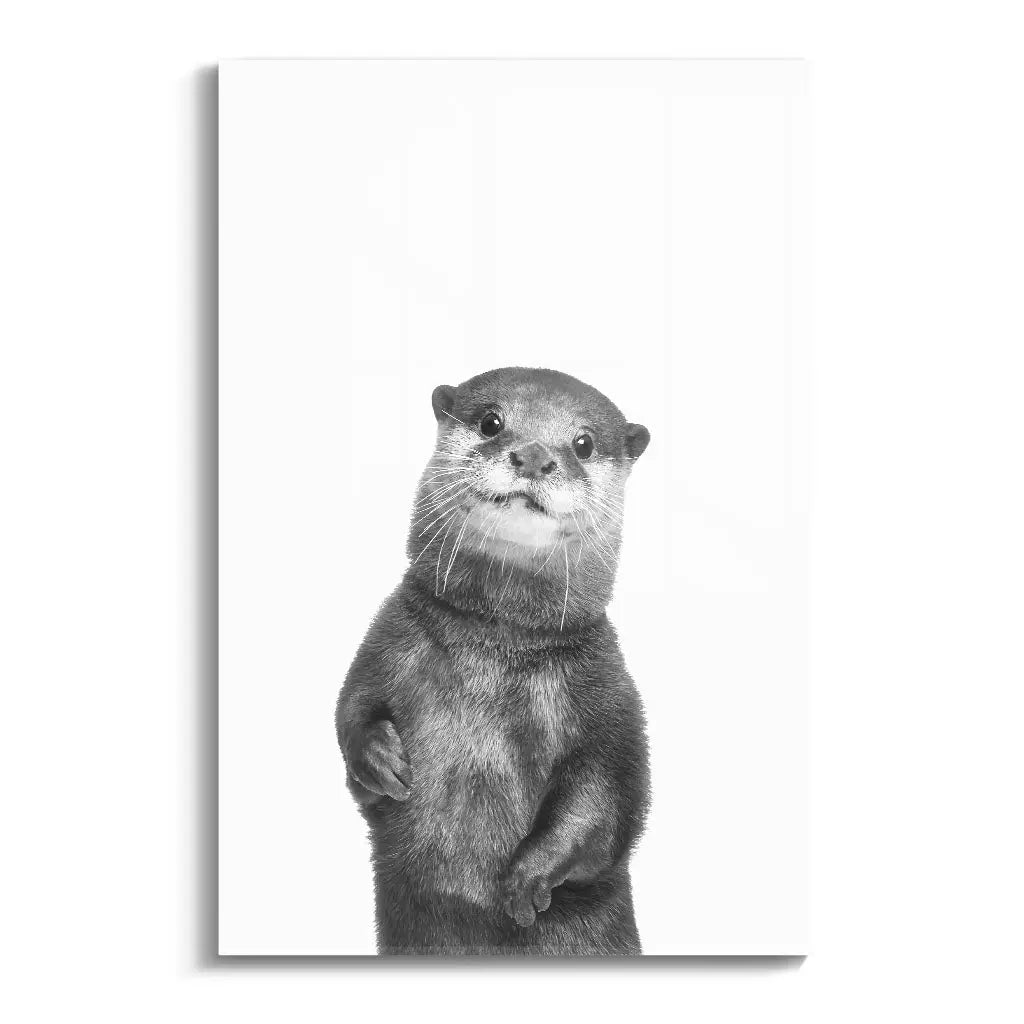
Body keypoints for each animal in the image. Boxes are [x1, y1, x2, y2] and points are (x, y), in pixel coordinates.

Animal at [335, 366, 651, 955]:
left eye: (583, 443)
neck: (495, 647)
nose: (534, 456)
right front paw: (379, 758)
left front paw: (529, 876)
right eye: (491, 422)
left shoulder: (609, 693)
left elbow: (606, 798)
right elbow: (351, 708)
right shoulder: (387, 640)